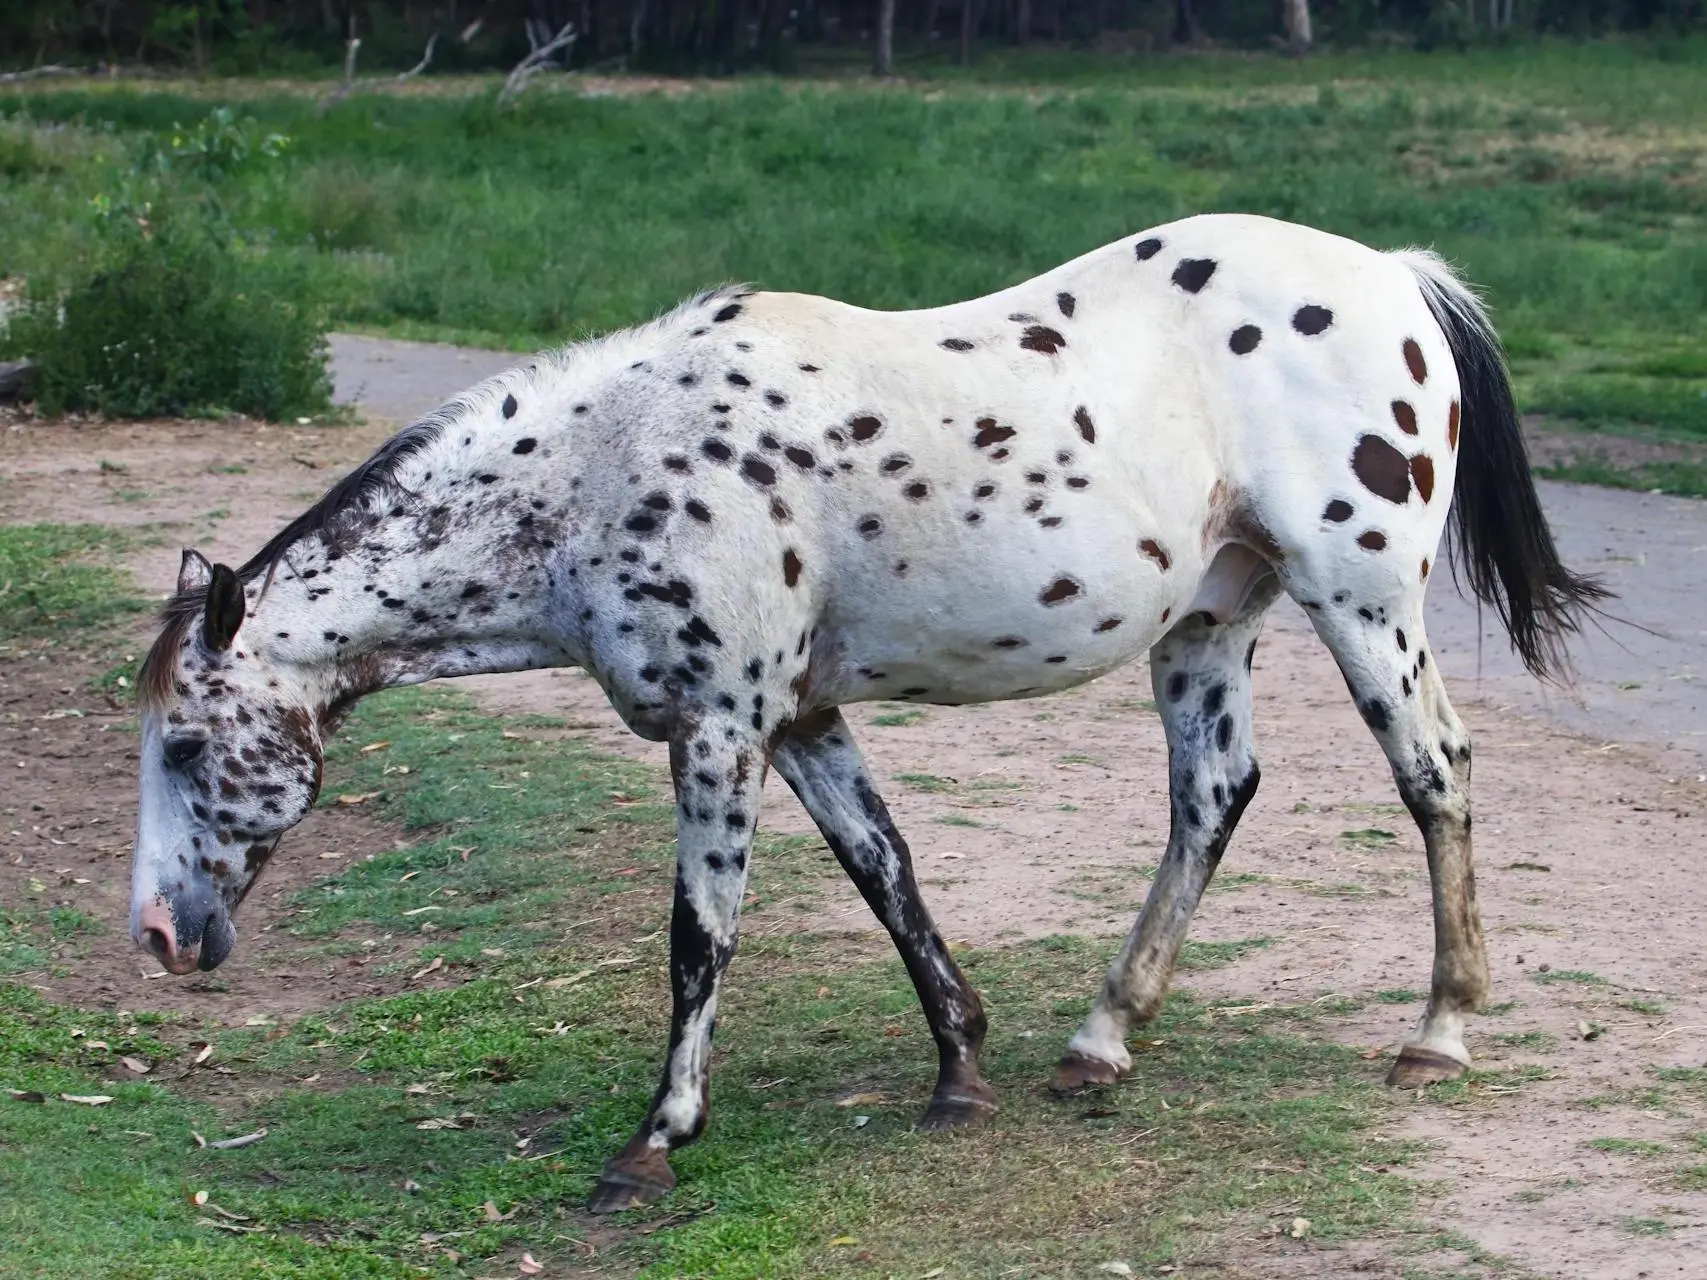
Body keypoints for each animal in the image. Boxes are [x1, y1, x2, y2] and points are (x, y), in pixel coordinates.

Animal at [129, 210, 1597, 1215]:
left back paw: (1436, 1032)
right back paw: (1101, 1041)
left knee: (1433, 774)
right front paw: (959, 1069)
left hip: (1362, 600)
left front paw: (656, 1137)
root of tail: (1393, 274)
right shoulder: (798, 722)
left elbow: (700, 936)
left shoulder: (722, 729)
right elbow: (885, 872)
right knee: (1212, 797)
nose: (156, 935)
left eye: (188, 742)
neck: (605, 466)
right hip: (1207, 624)